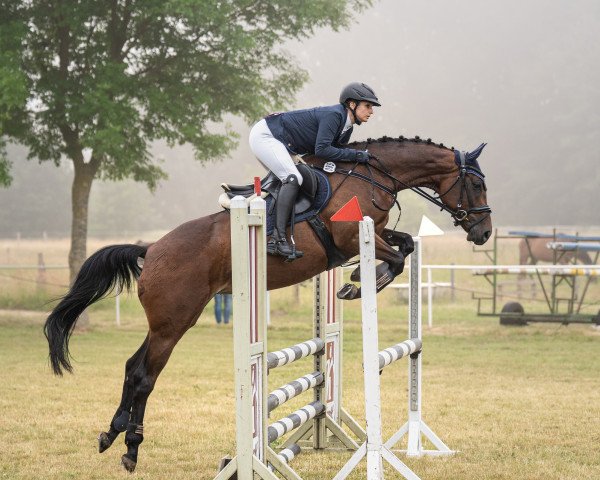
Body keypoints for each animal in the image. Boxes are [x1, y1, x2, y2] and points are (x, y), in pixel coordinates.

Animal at [43, 136, 492, 472]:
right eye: (476, 185)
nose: (484, 233)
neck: (370, 177)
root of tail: (150, 249)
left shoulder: (376, 233)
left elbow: (407, 244)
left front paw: (357, 281)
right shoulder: (352, 238)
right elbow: (395, 258)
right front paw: (357, 285)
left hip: (165, 324)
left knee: (131, 367)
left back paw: (112, 434)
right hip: (173, 323)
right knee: (143, 376)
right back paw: (131, 448)